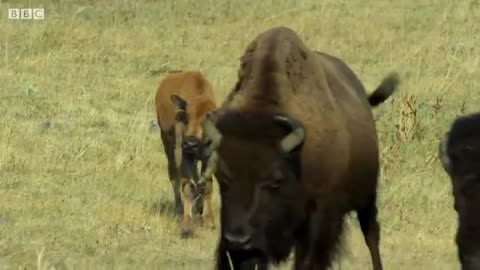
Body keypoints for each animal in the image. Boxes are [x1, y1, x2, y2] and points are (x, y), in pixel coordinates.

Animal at [156, 70, 218, 238]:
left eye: (207, 118)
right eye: (187, 118)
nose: (190, 143)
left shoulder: (210, 156)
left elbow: (206, 185)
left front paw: (209, 222)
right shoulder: (183, 154)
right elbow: (188, 186)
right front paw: (187, 227)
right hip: (168, 145)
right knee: (174, 177)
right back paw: (178, 208)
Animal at [202, 25, 402, 270]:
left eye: (275, 180)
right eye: (222, 176)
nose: (239, 239)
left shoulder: (319, 217)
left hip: (367, 196)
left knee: (371, 235)